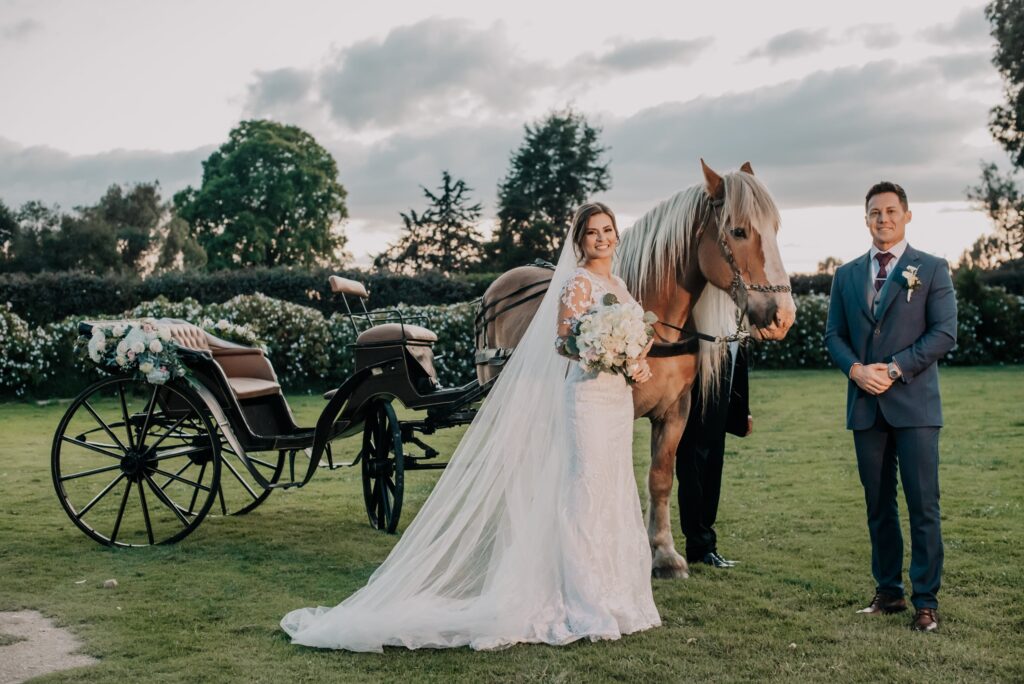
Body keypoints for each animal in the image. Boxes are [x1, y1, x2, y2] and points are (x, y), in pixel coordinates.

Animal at [475, 158, 794, 577]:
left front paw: (663, 552)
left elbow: (660, 477)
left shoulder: (676, 412)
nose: (783, 316)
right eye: (738, 231)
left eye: (775, 229)